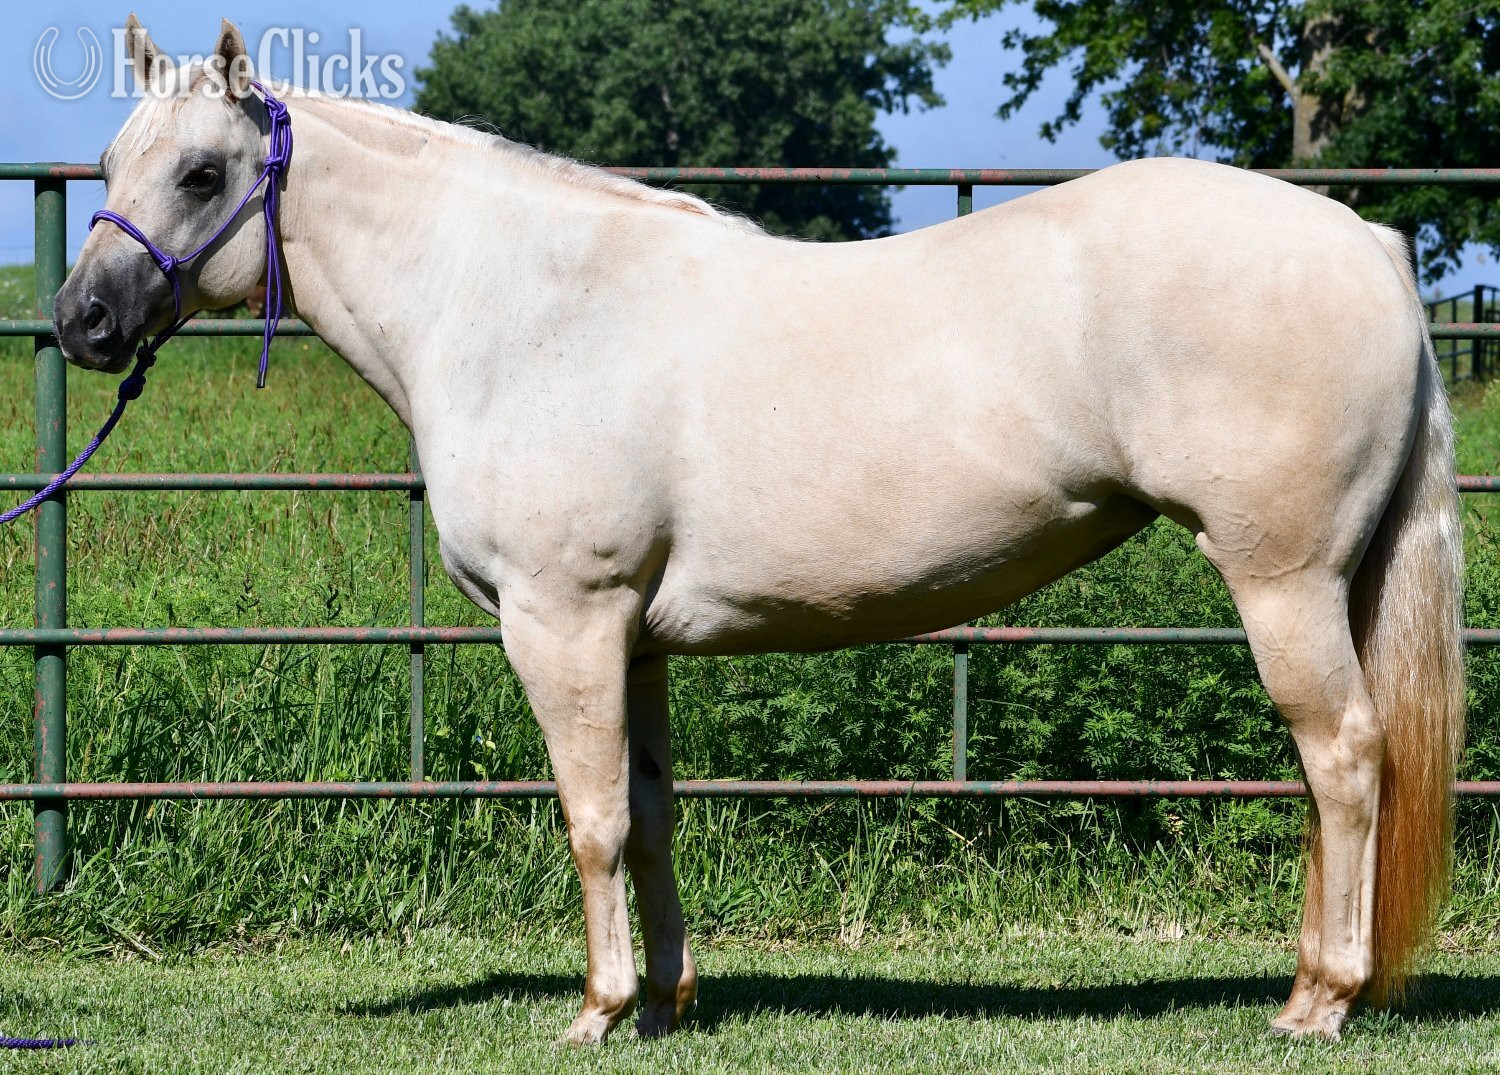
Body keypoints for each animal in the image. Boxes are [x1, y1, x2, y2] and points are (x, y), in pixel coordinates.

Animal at [53, 17, 1464, 1045]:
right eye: (110, 169)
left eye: (201, 173)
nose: (81, 324)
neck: (517, 304)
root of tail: (1370, 242)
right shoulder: (632, 641)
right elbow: (650, 813)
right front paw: (669, 999)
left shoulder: (562, 622)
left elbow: (590, 819)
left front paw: (599, 1011)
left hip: (1283, 580)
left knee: (1345, 759)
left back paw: (1319, 1002)